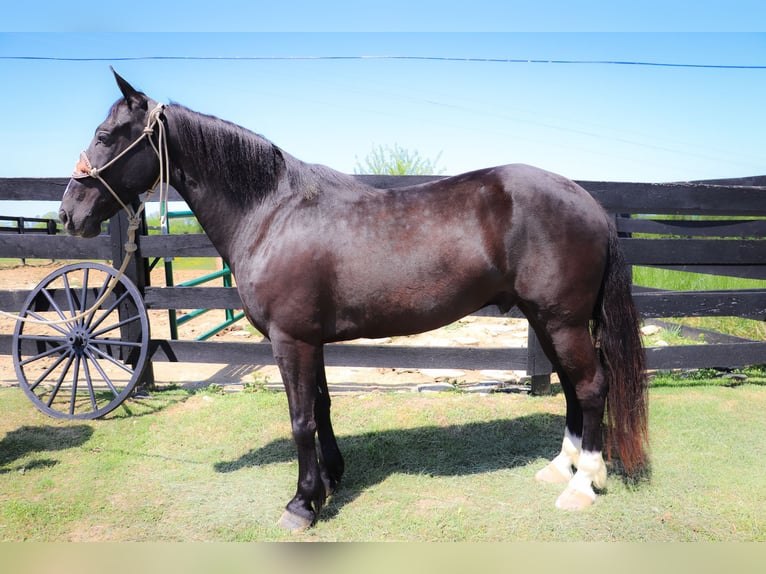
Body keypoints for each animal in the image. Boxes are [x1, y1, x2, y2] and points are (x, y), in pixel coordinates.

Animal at [60, 72, 648, 536]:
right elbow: (321, 407)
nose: (69, 213)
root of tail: (588, 201)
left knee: (591, 387)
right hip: (547, 321)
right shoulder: (311, 340)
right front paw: (329, 481)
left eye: (106, 136)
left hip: (561, 321)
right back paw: (561, 468)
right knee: (572, 387)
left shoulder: (290, 340)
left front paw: (301, 504)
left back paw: (581, 486)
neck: (272, 212)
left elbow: (300, 418)